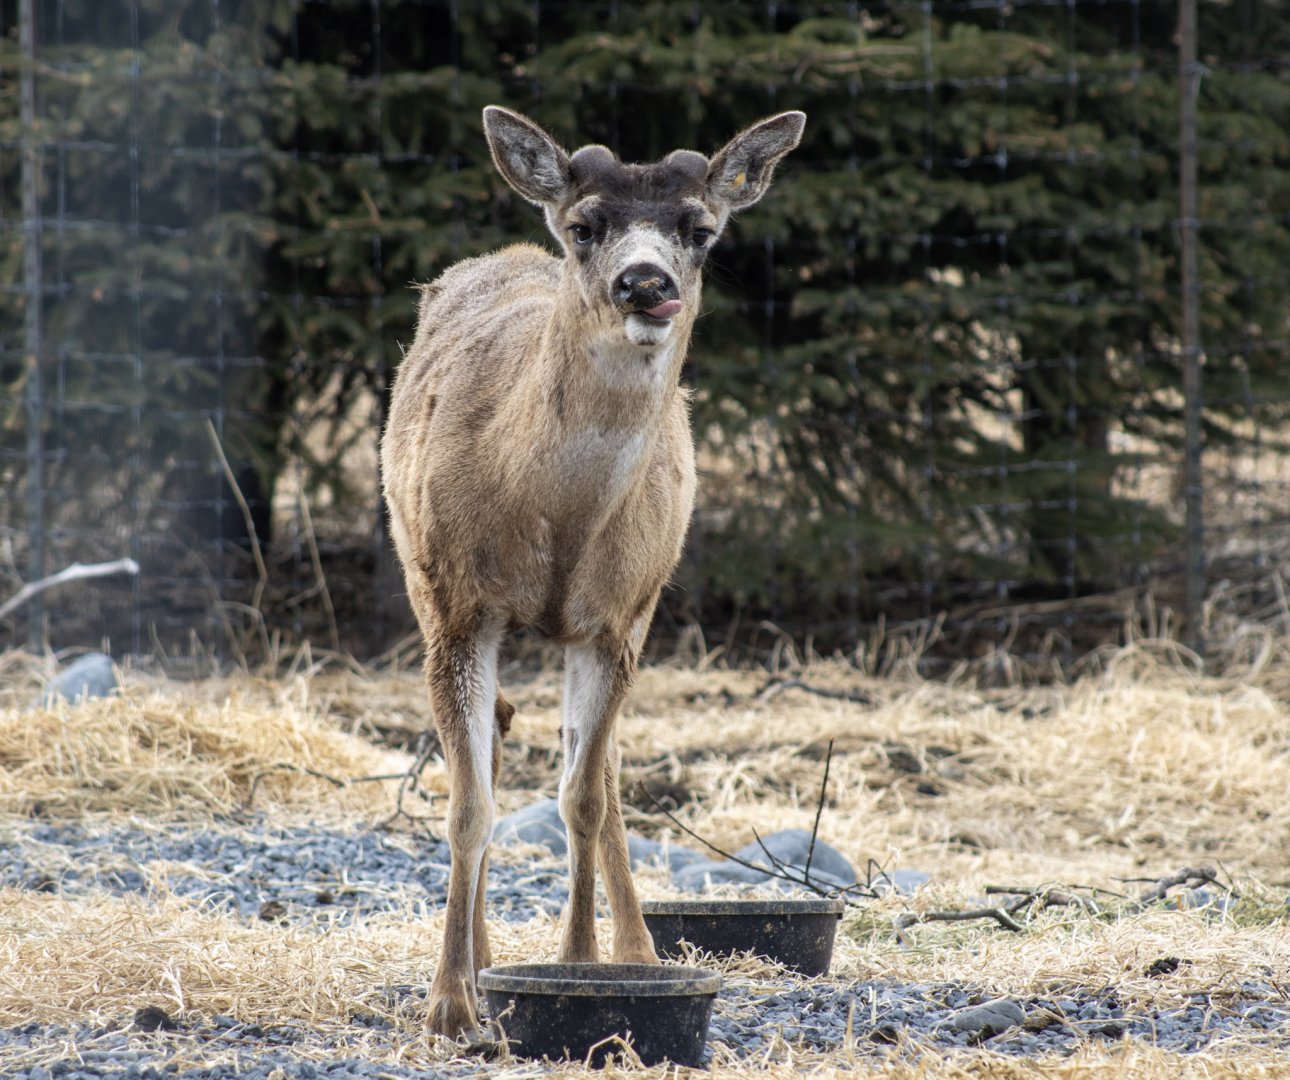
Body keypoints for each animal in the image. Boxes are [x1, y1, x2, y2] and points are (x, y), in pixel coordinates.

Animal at [380, 104, 805, 1039]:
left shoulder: (613, 620)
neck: (558, 518)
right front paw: (451, 1003)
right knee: (497, 740)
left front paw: (581, 969)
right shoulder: (457, 607)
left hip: (643, 609)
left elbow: (580, 797)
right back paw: (486, 959)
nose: (645, 283)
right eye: (585, 226)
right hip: (418, 577)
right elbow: (469, 806)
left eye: (700, 230)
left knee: (598, 771)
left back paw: (638, 951)